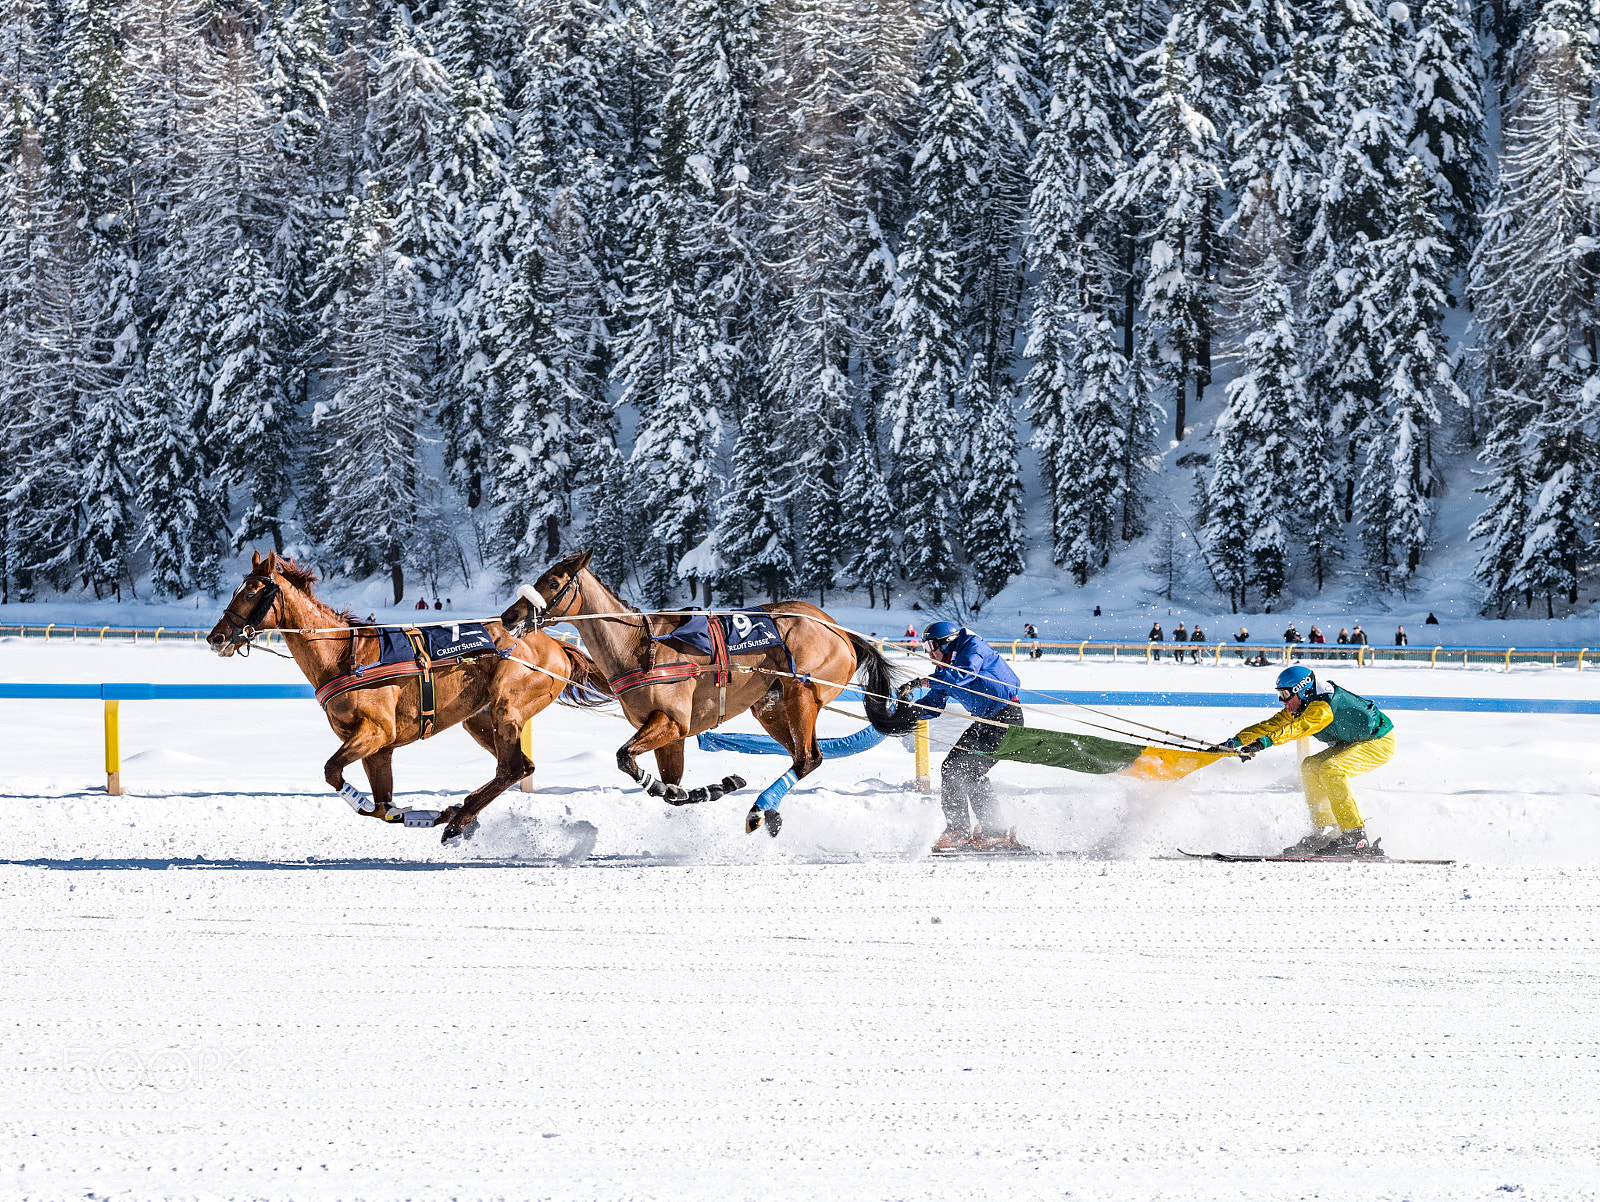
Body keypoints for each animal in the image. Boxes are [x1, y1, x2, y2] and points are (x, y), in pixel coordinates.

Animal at [209, 550, 608, 838]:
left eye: (250, 592)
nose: (216, 637)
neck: (343, 656)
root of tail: (556, 644)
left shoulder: (376, 732)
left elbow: (333, 771)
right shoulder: (378, 749)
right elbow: (380, 805)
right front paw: (404, 812)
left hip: (507, 706)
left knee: (510, 768)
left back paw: (459, 816)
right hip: (480, 719)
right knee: (520, 766)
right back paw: (458, 813)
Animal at [499, 553, 915, 838]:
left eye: (554, 583)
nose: (509, 617)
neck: (640, 646)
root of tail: (840, 631)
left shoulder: (671, 723)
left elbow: (624, 758)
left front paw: (705, 788)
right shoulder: (672, 736)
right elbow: (671, 788)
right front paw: (710, 788)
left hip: (802, 692)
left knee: (808, 758)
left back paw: (759, 810)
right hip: (770, 706)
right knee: (804, 756)